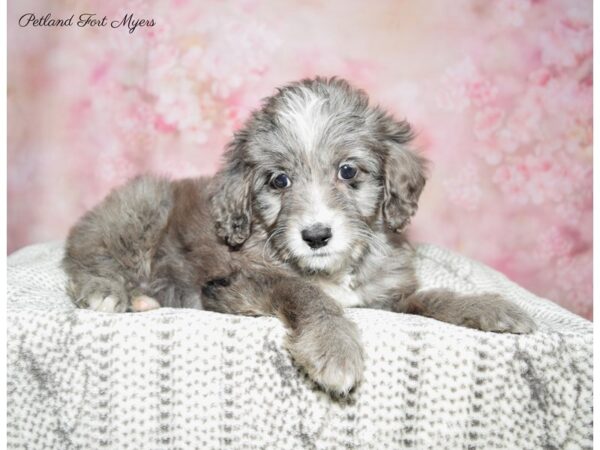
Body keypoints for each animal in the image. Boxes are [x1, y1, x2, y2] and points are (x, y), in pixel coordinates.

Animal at [64, 76, 536, 394]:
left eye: (348, 171)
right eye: (279, 181)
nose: (316, 235)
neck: (334, 271)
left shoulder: (386, 296)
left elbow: (430, 297)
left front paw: (487, 307)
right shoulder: (235, 285)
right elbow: (306, 294)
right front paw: (335, 347)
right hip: (141, 206)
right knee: (89, 254)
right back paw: (109, 290)